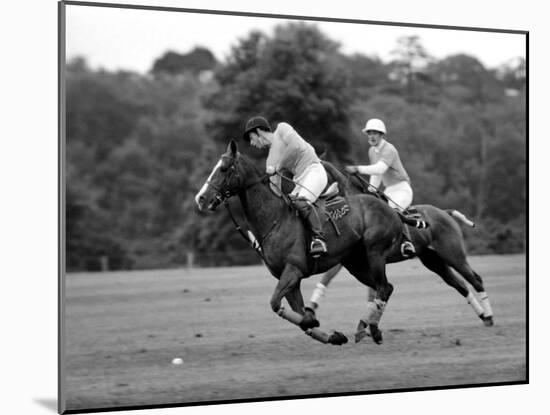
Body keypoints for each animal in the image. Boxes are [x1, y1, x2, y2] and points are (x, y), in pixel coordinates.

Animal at [195, 141, 406, 346]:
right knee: (385, 287)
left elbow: (277, 304)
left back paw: (372, 329)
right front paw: (333, 336)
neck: (274, 219)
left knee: (383, 287)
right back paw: (367, 328)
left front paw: (316, 322)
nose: (201, 198)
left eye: (223, 168)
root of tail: (391, 209)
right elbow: (299, 316)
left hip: (375, 253)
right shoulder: (288, 278)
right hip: (356, 264)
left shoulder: (293, 270)